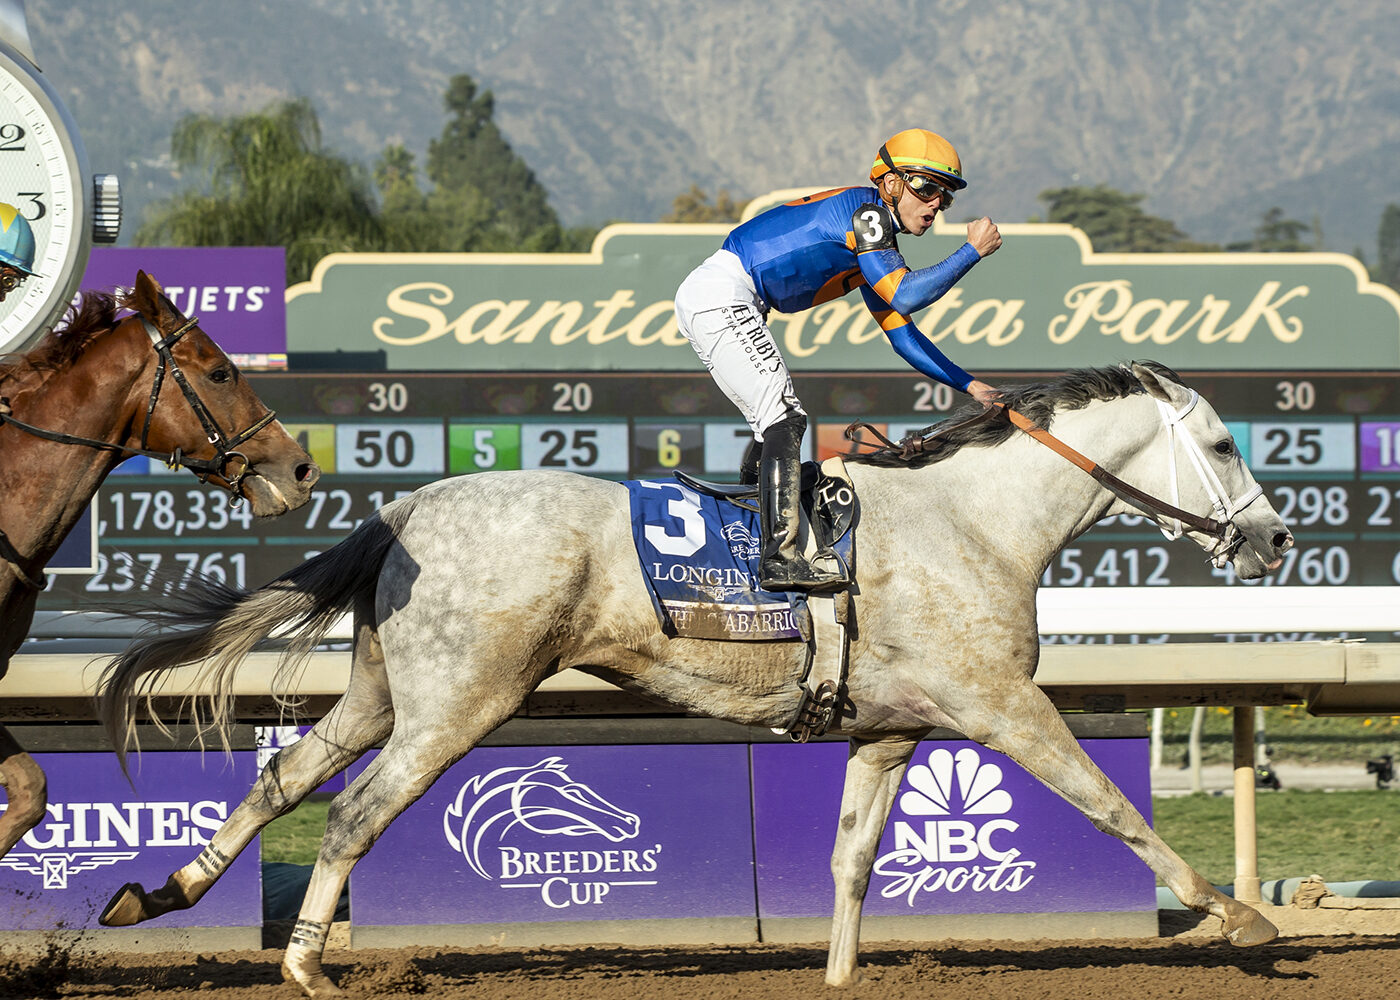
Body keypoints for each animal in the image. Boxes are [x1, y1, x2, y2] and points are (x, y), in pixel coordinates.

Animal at [95, 361, 1288, 991]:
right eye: (1226, 444)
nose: (1275, 540)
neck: (975, 525)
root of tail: (407, 506)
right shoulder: (1001, 705)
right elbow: (1109, 805)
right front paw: (1236, 916)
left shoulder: (888, 731)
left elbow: (853, 860)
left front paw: (840, 975)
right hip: (462, 702)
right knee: (349, 816)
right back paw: (304, 965)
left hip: (387, 690)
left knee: (283, 778)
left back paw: (160, 890)